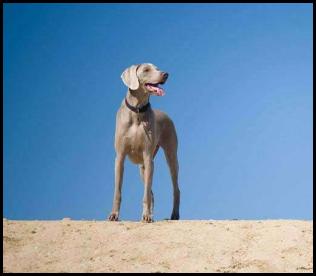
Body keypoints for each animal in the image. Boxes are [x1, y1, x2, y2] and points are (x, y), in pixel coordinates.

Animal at [108, 62, 180, 222]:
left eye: (158, 68)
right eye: (146, 70)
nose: (166, 74)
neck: (137, 111)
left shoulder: (147, 157)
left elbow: (146, 192)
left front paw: (146, 216)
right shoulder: (120, 157)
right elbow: (117, 191)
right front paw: (114, 214)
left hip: (170, 156)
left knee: (175, 188)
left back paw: (174, 214)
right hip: (142, 168)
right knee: (152, 193)